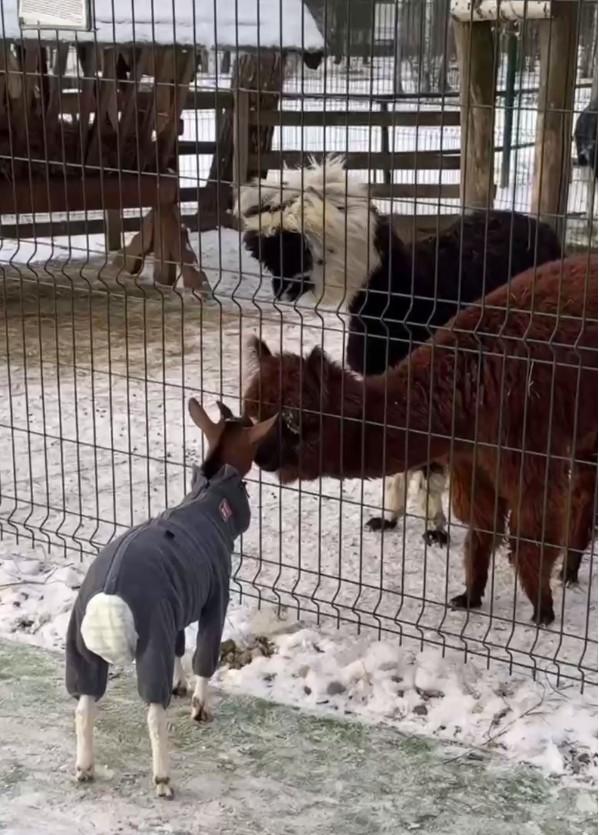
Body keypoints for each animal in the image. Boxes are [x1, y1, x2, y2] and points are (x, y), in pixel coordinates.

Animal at [245, 258, 599, 624]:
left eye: (292, 419)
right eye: (254, 415)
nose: (259, 456)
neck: (471, 384)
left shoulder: (527, 447)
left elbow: (532, 535)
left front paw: (543, 608)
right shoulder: (473, 458)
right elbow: (481, 528)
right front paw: (470, 595)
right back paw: (570, 571)